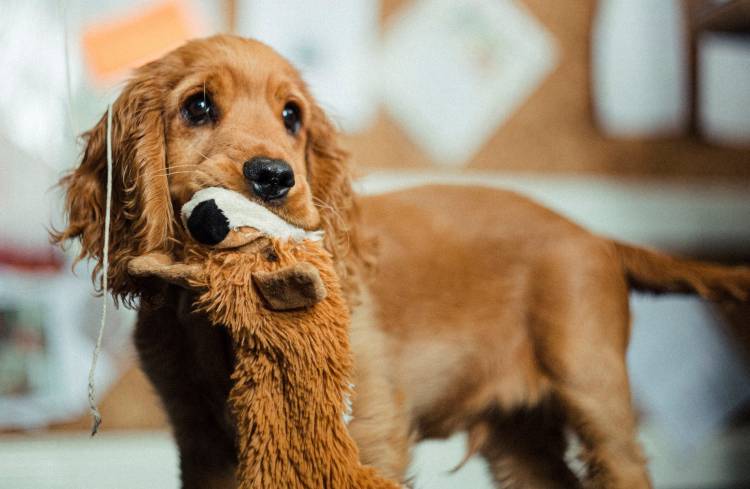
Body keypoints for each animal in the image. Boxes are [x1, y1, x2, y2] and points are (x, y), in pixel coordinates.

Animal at [54, 35, 750, 488]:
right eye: (197, 106)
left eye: (292, 116)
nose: (274, 177)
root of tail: (594, 235)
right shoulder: (200, 441)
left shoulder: (368, 428)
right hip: (520, 435)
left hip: (593, 386)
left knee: (622, 461)